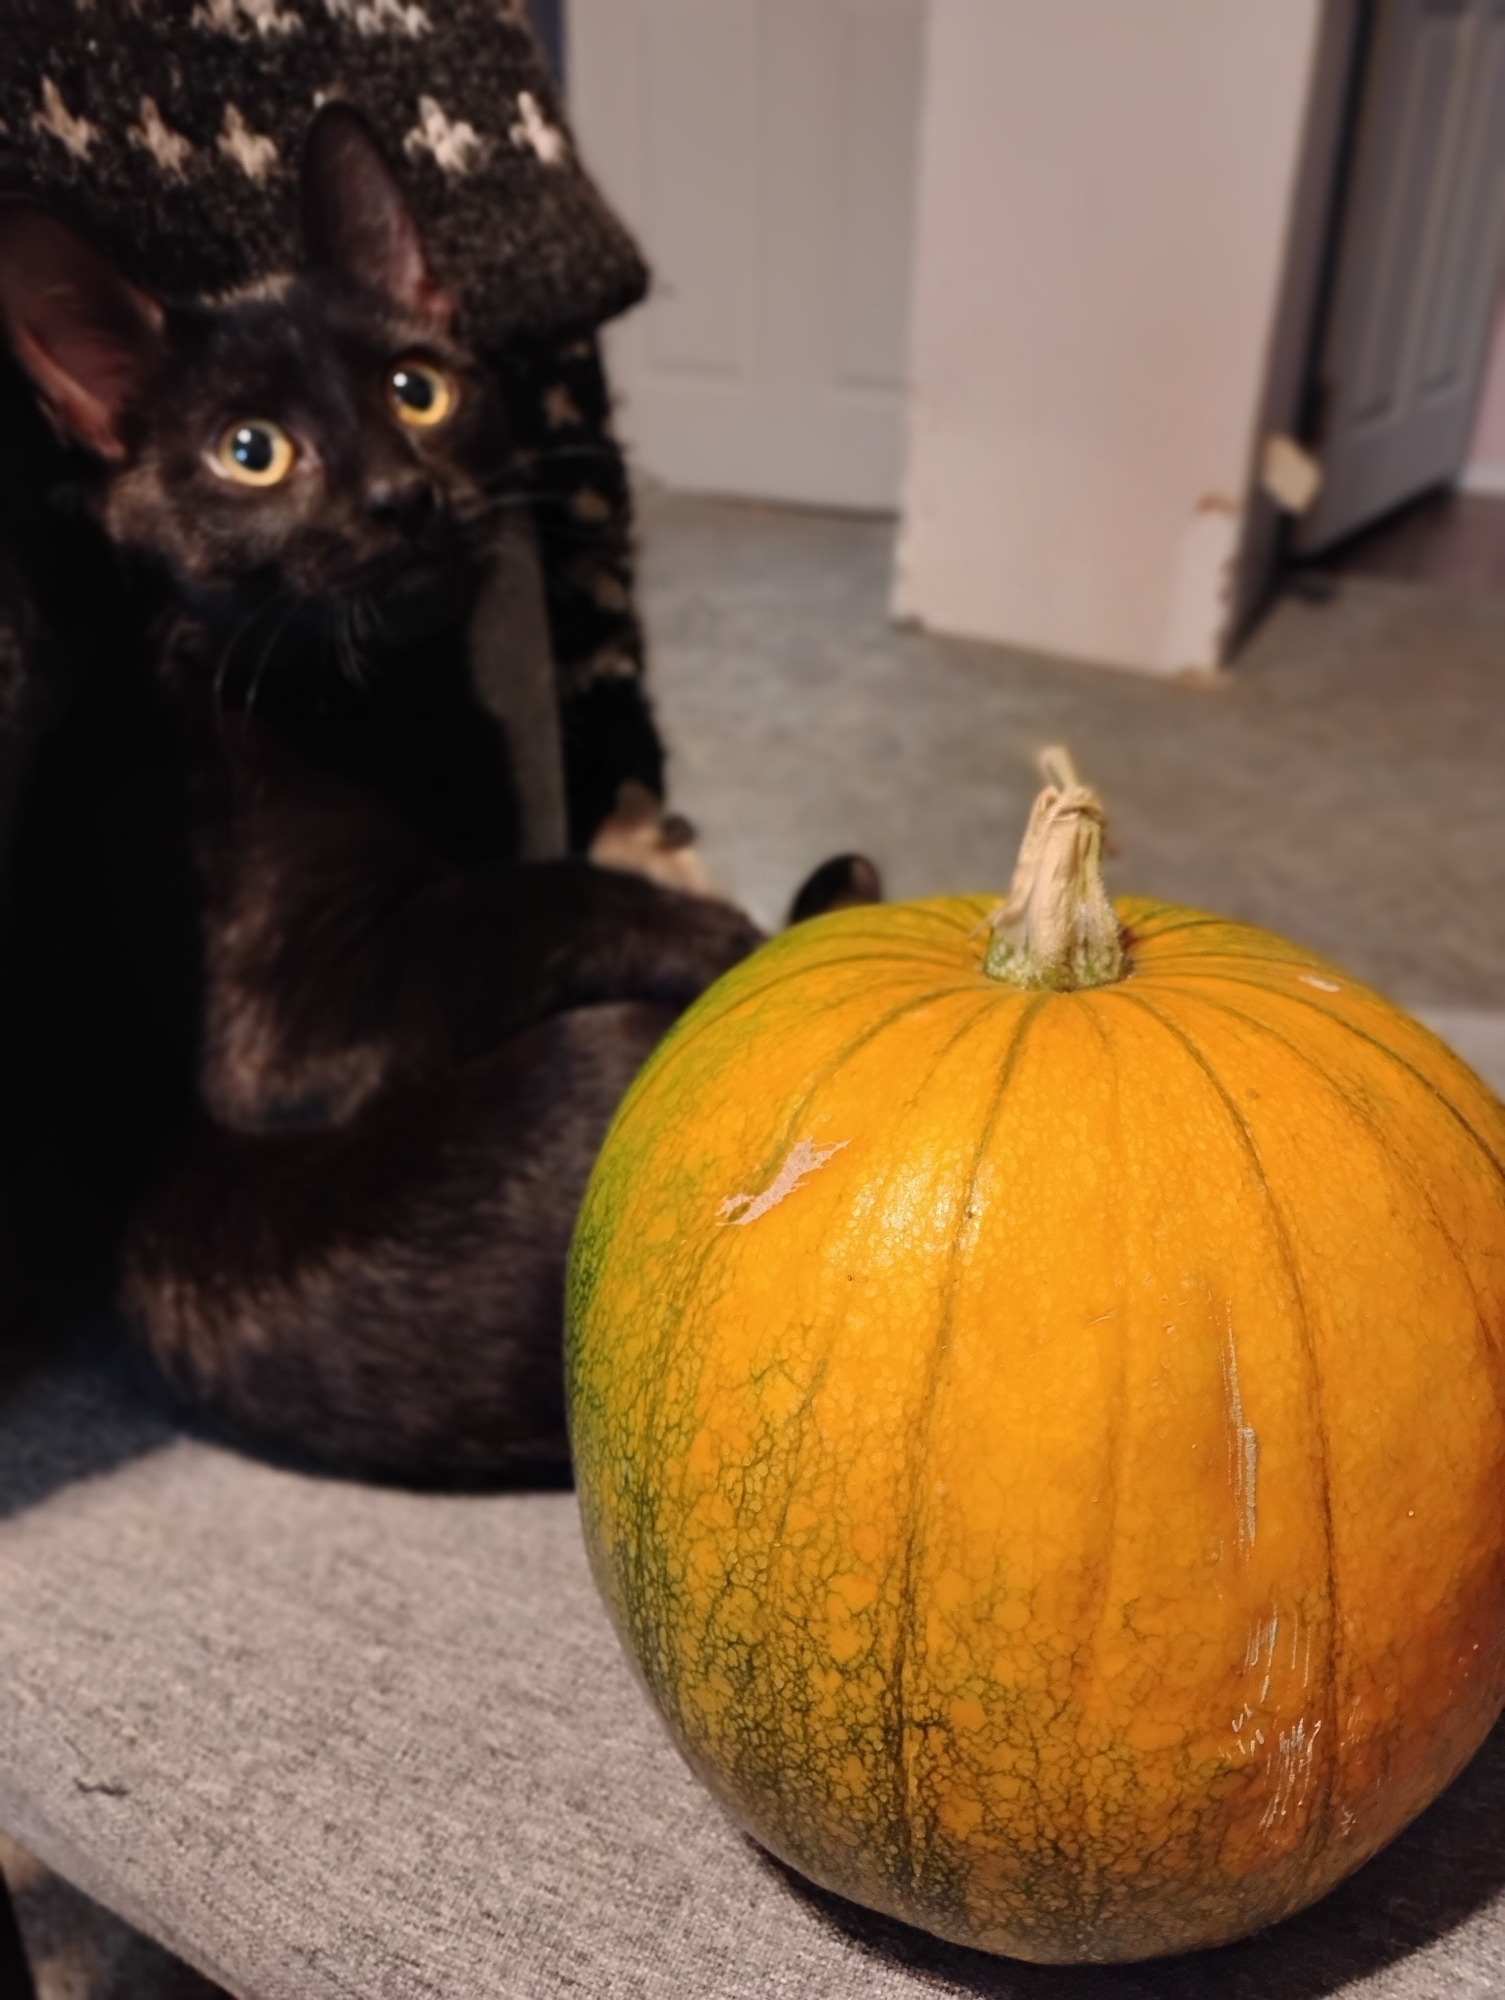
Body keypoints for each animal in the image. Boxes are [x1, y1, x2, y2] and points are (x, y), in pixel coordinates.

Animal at [0, 103, 829, 1484]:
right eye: (249, 453)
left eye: (416, 388)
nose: (400, 492)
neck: (385, 705)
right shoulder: (279, 1020)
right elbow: (505, 898)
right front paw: (705, 927)